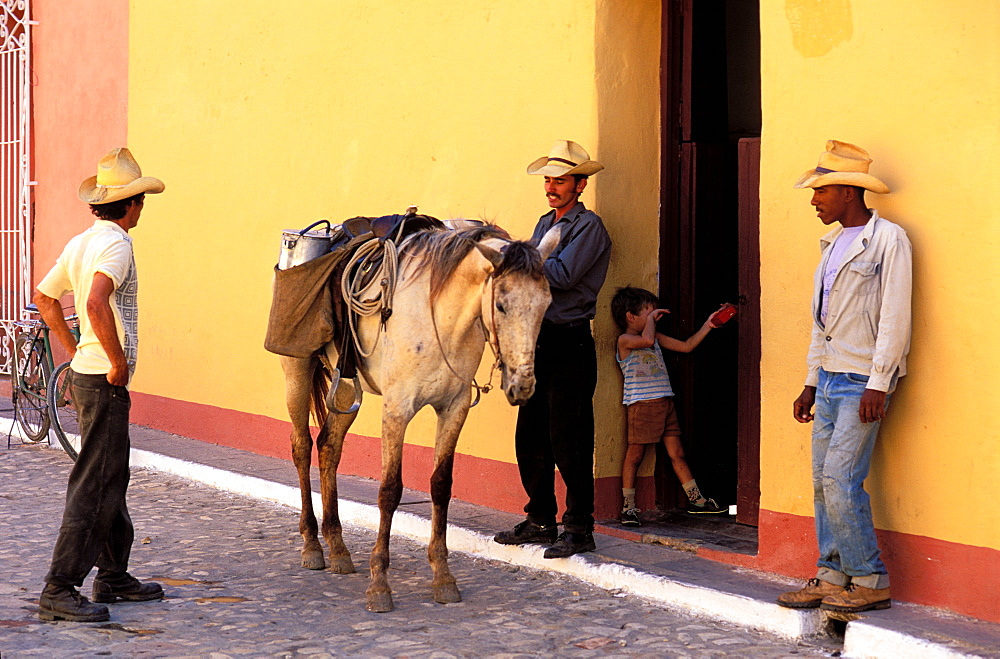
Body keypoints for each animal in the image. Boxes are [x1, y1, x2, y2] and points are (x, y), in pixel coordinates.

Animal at [282, 223, 564, 612]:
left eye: (546, 303)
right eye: (502, 305)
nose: (522, 385)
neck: (441, 318)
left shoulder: (454, 408)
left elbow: (441, 486)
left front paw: (443, 578)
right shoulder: (397, 410)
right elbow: (389, 491)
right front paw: (380, 584)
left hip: (346, 388)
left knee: (328, 448)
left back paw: (338, 548)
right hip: (296, 371)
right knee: (301, 446)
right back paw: (312, 545)